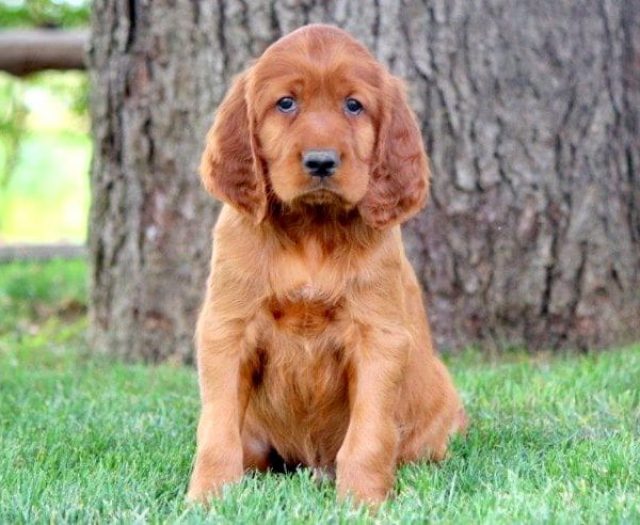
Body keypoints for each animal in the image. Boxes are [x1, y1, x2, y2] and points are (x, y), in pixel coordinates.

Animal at [186, 23, 464, 504]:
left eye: (353, 105)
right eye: (286, 103)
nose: (320, 162)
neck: (312, 231)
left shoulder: (378, 337)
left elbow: (369, 433)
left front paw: (363, 501)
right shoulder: (226, 328)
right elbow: (217, 429)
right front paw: (208, 497)